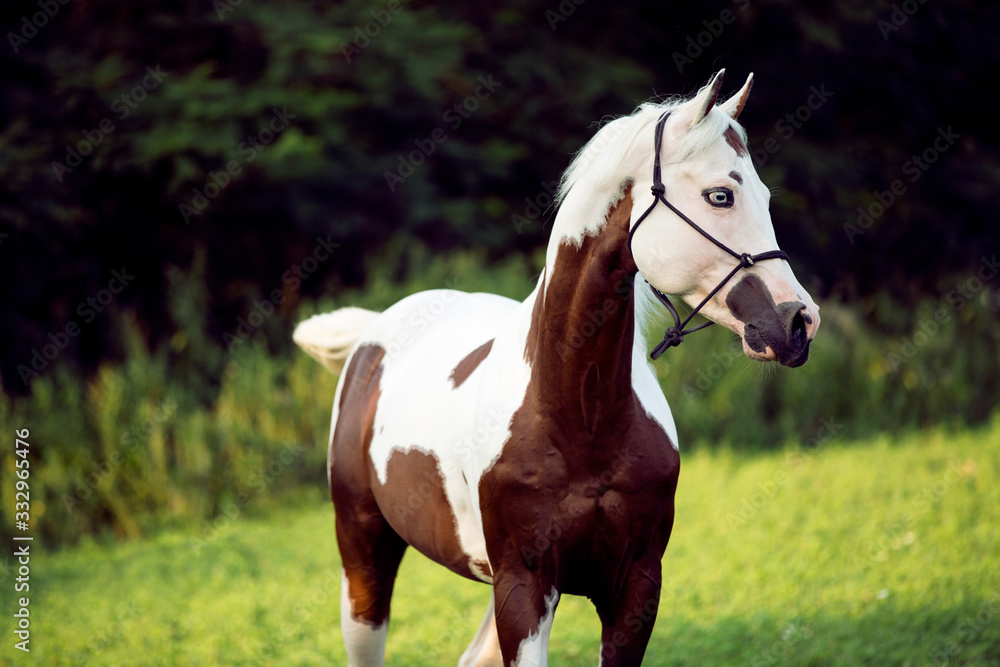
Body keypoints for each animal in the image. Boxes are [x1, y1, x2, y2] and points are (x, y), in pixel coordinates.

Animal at [293, 69, 820, 666]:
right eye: (721, 195)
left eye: (765, 197)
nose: (799, 322)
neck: (578, 413)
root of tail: (375, 333)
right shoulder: (524, 589)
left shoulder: (633, 588)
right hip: (363, 552)